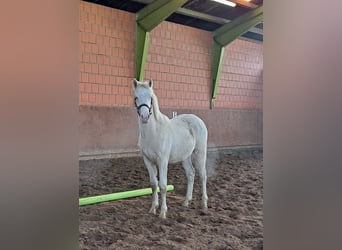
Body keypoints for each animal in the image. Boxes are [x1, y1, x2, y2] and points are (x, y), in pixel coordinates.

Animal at [133, 78, 208, 219]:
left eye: (151, 98)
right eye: (136, 97)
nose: (145, 117)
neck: (153, 132)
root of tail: (198, 120)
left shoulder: (162, 161)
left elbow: (162, 185)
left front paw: (163, 212)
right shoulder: (148, 160)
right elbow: (153, 184)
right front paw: (153, 209)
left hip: (200, 153)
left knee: (202, 175)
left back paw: (204, 204)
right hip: (185, 157)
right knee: (191, 174)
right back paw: (186, 202)